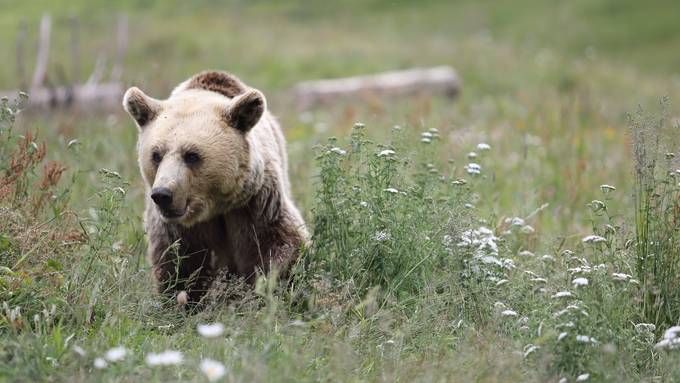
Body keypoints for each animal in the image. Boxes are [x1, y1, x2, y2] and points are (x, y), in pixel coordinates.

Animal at [122, 70, 308, 304]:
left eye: (192, 155)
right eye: (156, 155)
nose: (163, 194)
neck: (214, 208)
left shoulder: (255, 204)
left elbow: (278, 244)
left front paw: (271, 289)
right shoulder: (181, 228)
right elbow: (179, 265)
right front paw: (182, 299)